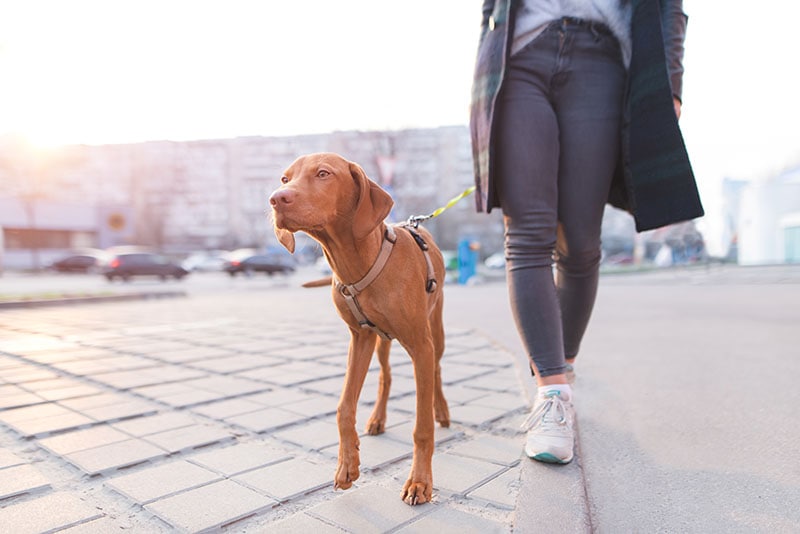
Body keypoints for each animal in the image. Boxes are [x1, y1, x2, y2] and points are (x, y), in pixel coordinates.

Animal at [268, 152, 446, 506]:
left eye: (323, 174)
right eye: (284, 179)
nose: (277, 199)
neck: (359, 262)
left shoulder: (421, 345)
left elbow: (421, 427)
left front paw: (420, 482)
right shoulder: (359, 338)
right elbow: (344, 406)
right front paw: (346, 465)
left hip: (436, 331)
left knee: (436, 371)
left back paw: (441, 410)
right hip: (381, 342)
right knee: (386, 376)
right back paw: (378, 418)